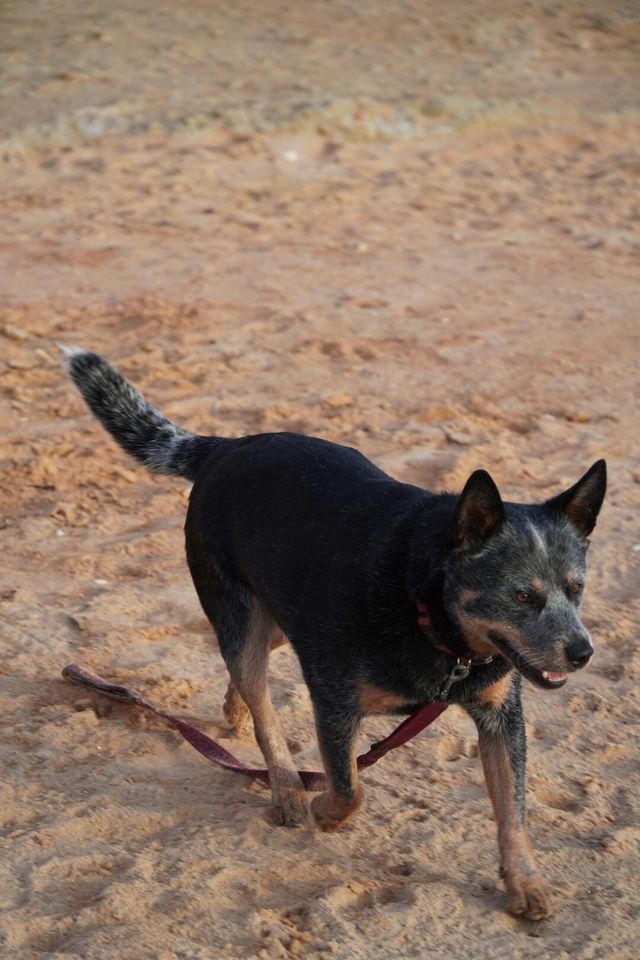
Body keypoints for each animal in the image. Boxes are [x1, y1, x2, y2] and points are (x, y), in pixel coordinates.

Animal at [63, 346, 604, 924]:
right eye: (521, 596)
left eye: (577, 588)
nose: (582, 653)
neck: (425, 609)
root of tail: (227, 448)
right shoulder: (335, 700)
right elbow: (349, 787)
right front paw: (323, 810)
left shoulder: (502, 716)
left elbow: (513, 809)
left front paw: (524, 882)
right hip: (243, 618)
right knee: (261, 704)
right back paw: (285, 788)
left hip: (275, 617)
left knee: (245, 675)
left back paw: (235, 710)